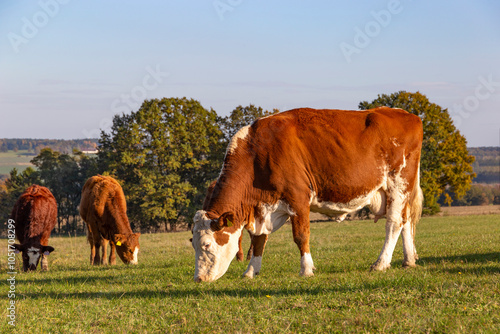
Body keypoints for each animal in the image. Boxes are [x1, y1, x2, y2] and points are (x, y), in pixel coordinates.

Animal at [191, 107, 422, 282]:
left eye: (207, 244)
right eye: (192, 243)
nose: (198, 279)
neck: (257, 154)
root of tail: (407, 114)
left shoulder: (298, 198)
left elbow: (301, 236)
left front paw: (306, 269)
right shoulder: (263, 207)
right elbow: (258, 239)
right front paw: (250, 271)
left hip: (398, 182)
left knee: (393, 223)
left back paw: (381, 263)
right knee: (406, 221)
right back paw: (408, 260)